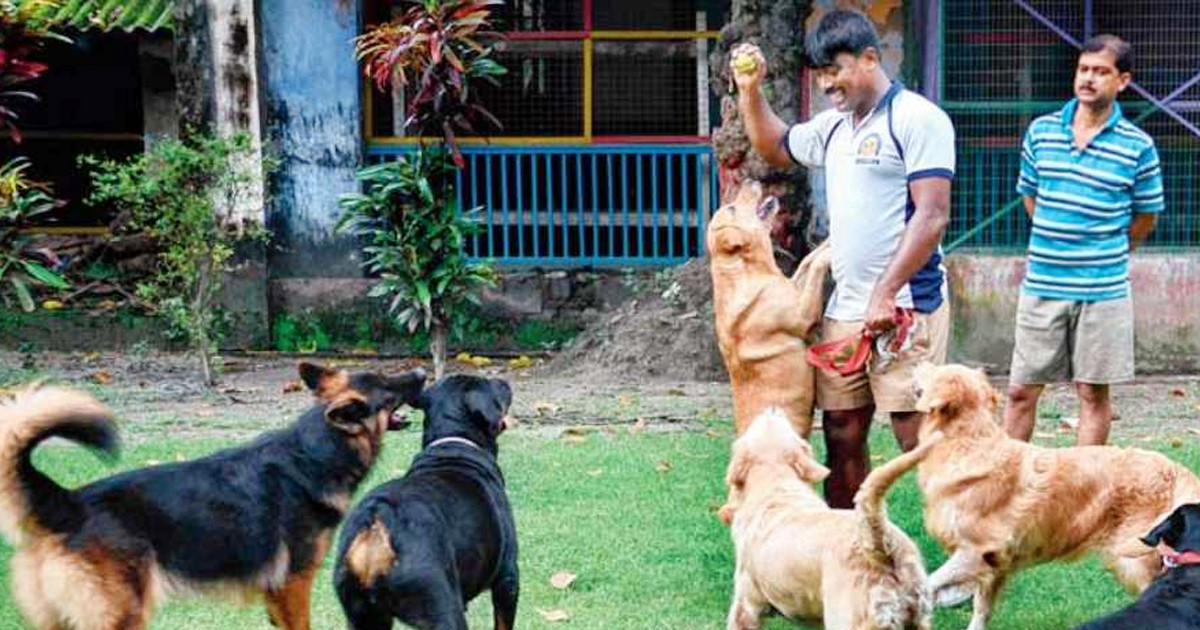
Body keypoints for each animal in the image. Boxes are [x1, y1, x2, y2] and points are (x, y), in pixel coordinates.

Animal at [0, 357, 427, 628]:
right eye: (389, 388)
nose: (423, 371)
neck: (314, 454)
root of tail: (67, 503)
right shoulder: (293, 583)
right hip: (123, 614)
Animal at [333, 374, 516, 628]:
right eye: (490, 384)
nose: (503, 381)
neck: (453, 441)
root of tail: (378, 520)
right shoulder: (507, 577)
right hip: (440, 606)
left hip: (363, 615)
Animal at [705, 180, 830, 436]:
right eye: (732, 208)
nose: (749, 180)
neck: (751, 271)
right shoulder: (803, 317)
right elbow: (816, 265)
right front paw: (831, 250)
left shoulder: (795, 286)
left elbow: (808, 260)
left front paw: (828, 241)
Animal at [907, 360, 1200, 628]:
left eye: (935, 368)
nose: (917, 360)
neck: (968, 442)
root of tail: (1176, 470)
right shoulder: (995, 564)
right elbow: (980, 609)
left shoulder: (977, 549)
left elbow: (929, 582)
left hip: (1135, 557)